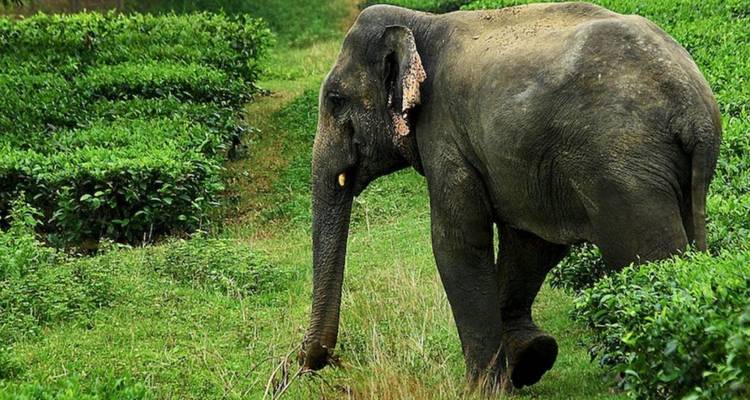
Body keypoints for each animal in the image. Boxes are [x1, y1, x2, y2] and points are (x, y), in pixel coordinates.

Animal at [300, 2, 721, 391]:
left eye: (335, 100)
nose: (319, 362)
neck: (421, 24)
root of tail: (693, 109)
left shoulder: (445, 135)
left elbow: (458, 243)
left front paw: (479, 389)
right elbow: (531, 244)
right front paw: (531, 359)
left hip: (624, 171)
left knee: (648, 257)